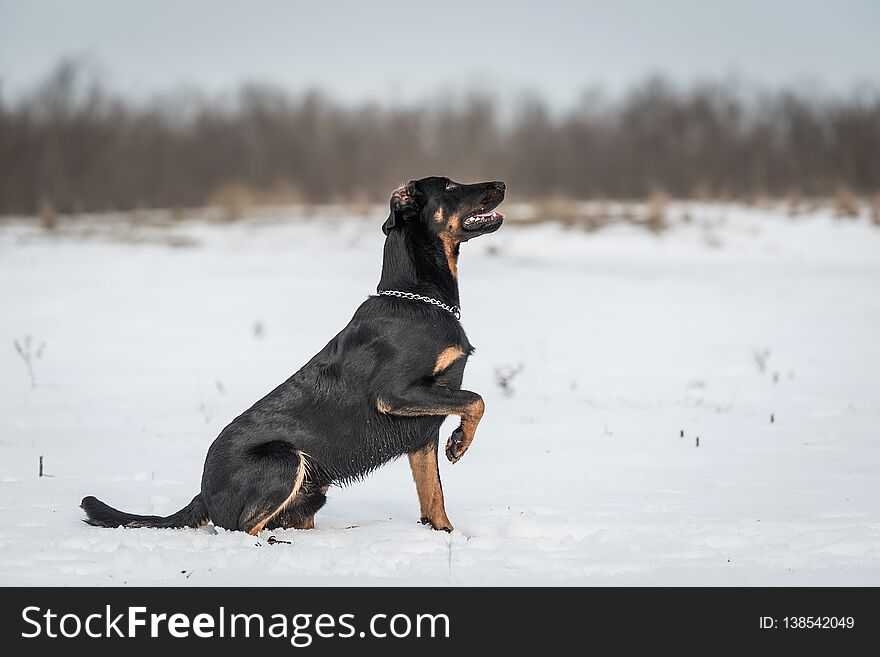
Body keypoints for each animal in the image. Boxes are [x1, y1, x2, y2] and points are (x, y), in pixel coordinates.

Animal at [82, 176, 508, 532]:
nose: (502, 184)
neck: (418, 297)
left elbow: (433, 495)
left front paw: (447, 535)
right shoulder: (398, 394)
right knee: (243, 528)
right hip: (285, 460)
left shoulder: (421, 432)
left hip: (311, 491)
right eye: (450, 186)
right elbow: (476, 399)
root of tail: (202, 493)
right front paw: (460, 443)